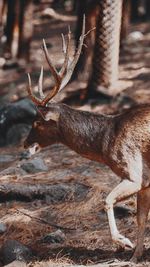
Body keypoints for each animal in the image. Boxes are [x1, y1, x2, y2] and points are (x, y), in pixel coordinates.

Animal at [24, 17, 150, 264]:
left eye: (37, 122)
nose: (26, 144)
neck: (105, 141)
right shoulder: (146, 183)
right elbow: (141, 219)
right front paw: (134, 256)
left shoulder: (136, 174)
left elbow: (107, 201)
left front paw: (123, 242)